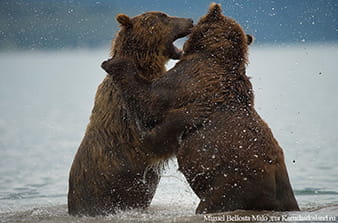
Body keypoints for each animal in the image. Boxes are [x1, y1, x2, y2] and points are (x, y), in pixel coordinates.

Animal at [101, 2, 300, 214]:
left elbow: (150, 101)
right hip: (280, 194)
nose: (191, 21)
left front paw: (115, 63)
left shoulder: (187, 80)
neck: (214, 53)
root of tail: (276, 195)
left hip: (230, 186)